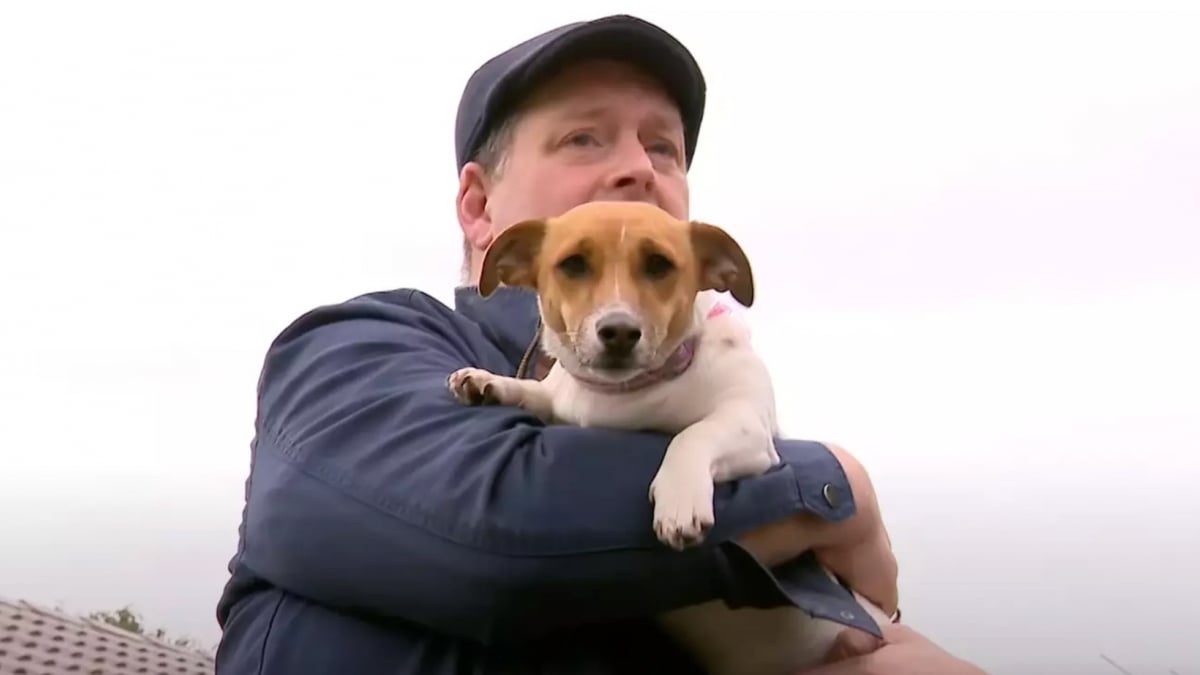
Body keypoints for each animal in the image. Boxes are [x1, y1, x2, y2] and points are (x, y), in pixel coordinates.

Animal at [446, 200, 888, 672]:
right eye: (573, 264)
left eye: (659, 265)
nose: (619, 331)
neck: (624, 395)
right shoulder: (560, 399)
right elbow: (537, 392)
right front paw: (488, 382)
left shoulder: (746, 424)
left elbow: (691, 435)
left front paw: (679, 502)